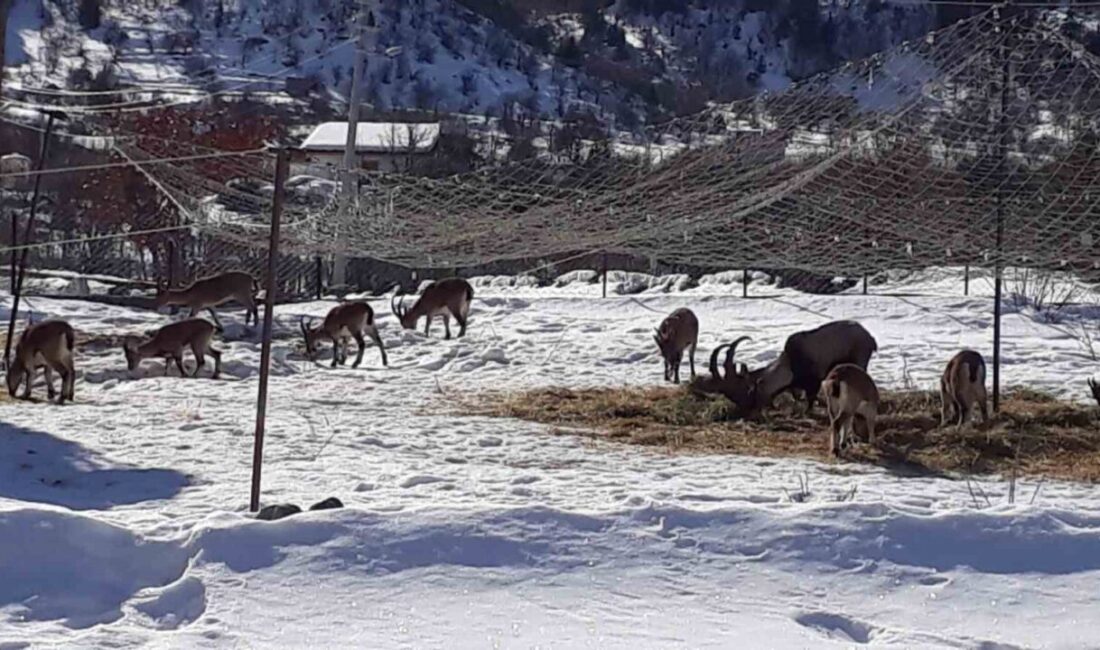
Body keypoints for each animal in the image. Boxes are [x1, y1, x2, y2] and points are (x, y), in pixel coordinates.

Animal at [695, 321, 875, 422]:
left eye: (747, 394)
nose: (747, 414)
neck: (790, 364)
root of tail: (870, 338)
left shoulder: (814, 381)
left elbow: (810, 400)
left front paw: (806, 413)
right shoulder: (797, 386)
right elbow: (797, 396)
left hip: (860, 359)